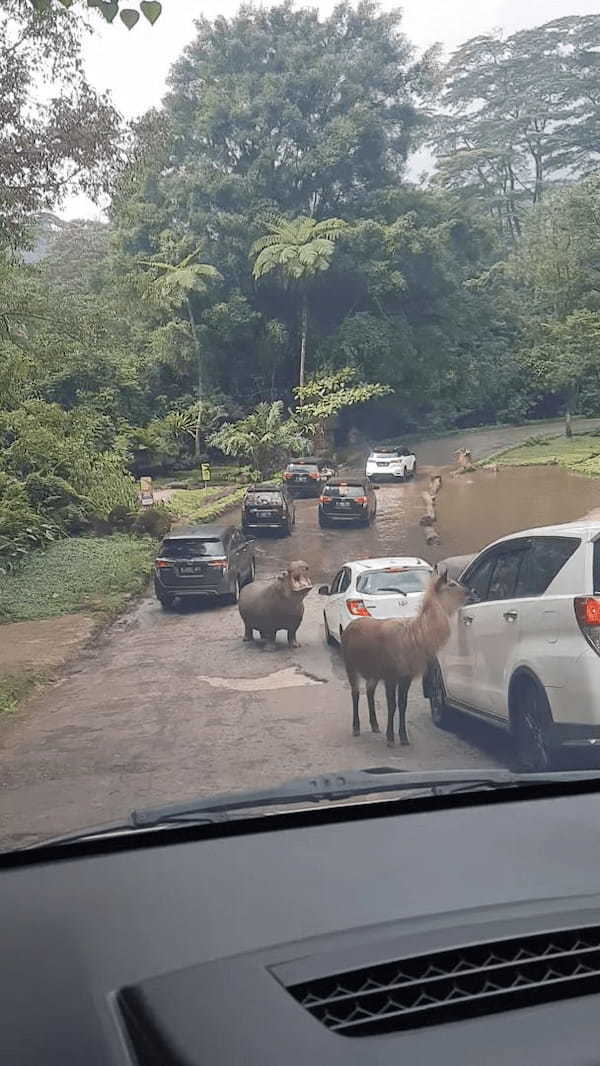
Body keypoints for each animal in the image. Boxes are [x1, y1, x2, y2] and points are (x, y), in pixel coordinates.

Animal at [341, 575, 466, 750]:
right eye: (452, 584)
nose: (472, 591)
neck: (415, 639)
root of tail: (346, 629)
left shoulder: (406, 676)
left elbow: (402, 705)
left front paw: (404, 737)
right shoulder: (390, 675)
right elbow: (392, 705)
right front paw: (390, 738)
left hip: (373, 672)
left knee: (370, 692)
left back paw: (375, 725)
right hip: (350, 665)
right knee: (355, 693)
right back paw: (356, 727)